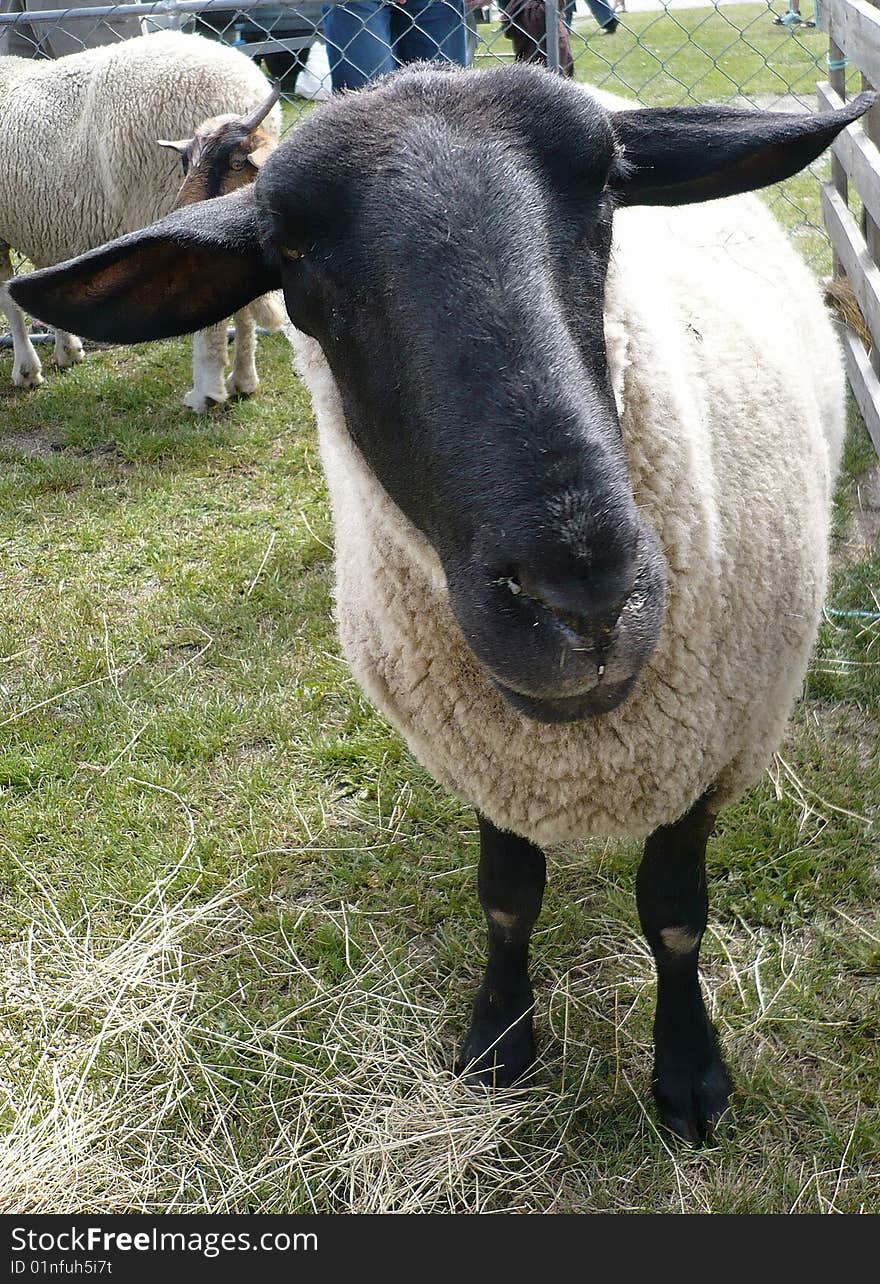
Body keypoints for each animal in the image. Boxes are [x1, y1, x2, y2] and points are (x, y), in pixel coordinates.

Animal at [0, 30, 281, 408]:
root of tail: (240, 85)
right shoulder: (43, 227)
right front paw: (66, 351)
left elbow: (9, 302)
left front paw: (27, 370)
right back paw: (242, 380)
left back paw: (205, 393)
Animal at [8, 65, 873, 1145]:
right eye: (289, 252)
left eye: (609, 191)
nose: (583, 600)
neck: (584, 752)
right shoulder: (481, 755)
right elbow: (506, 899)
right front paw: (498, 1041)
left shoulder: (716, 748)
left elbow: (674, 917)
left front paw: (686, 1071)